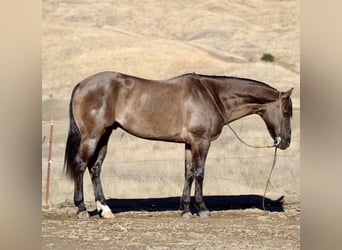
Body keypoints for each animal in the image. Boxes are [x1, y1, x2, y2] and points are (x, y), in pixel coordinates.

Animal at [62, 71, 292, 219]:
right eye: (287, 111)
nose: (286, 142)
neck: (212, 95)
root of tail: (82, 84)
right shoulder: (201, 142)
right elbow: (199, 173)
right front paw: (202, 209)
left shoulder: (189, 144)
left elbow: (188, 173)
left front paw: (186, 210)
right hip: (92, 136)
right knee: (81, 166)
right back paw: (82, 210)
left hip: (105, 135)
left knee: (95, 168)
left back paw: (105, 210)